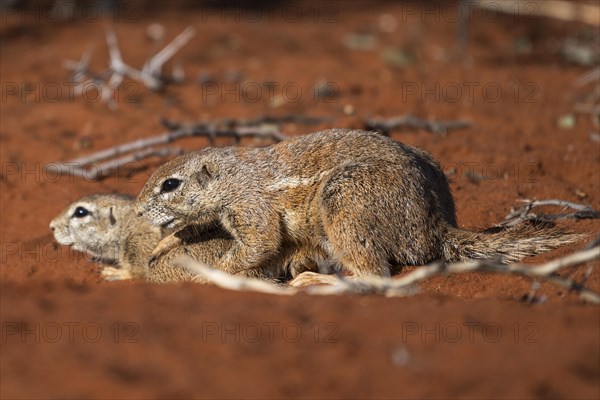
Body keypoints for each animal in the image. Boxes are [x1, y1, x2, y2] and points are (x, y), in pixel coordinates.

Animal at [137, 129, 580, 278]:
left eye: (170, 184)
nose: (140, 210)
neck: (231, 175)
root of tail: (434, 226)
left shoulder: (250, 206)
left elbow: (258, 244)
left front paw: (208, 274)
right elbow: (196, 227)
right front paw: (164, 244)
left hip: (345, 202)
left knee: (374, 274)